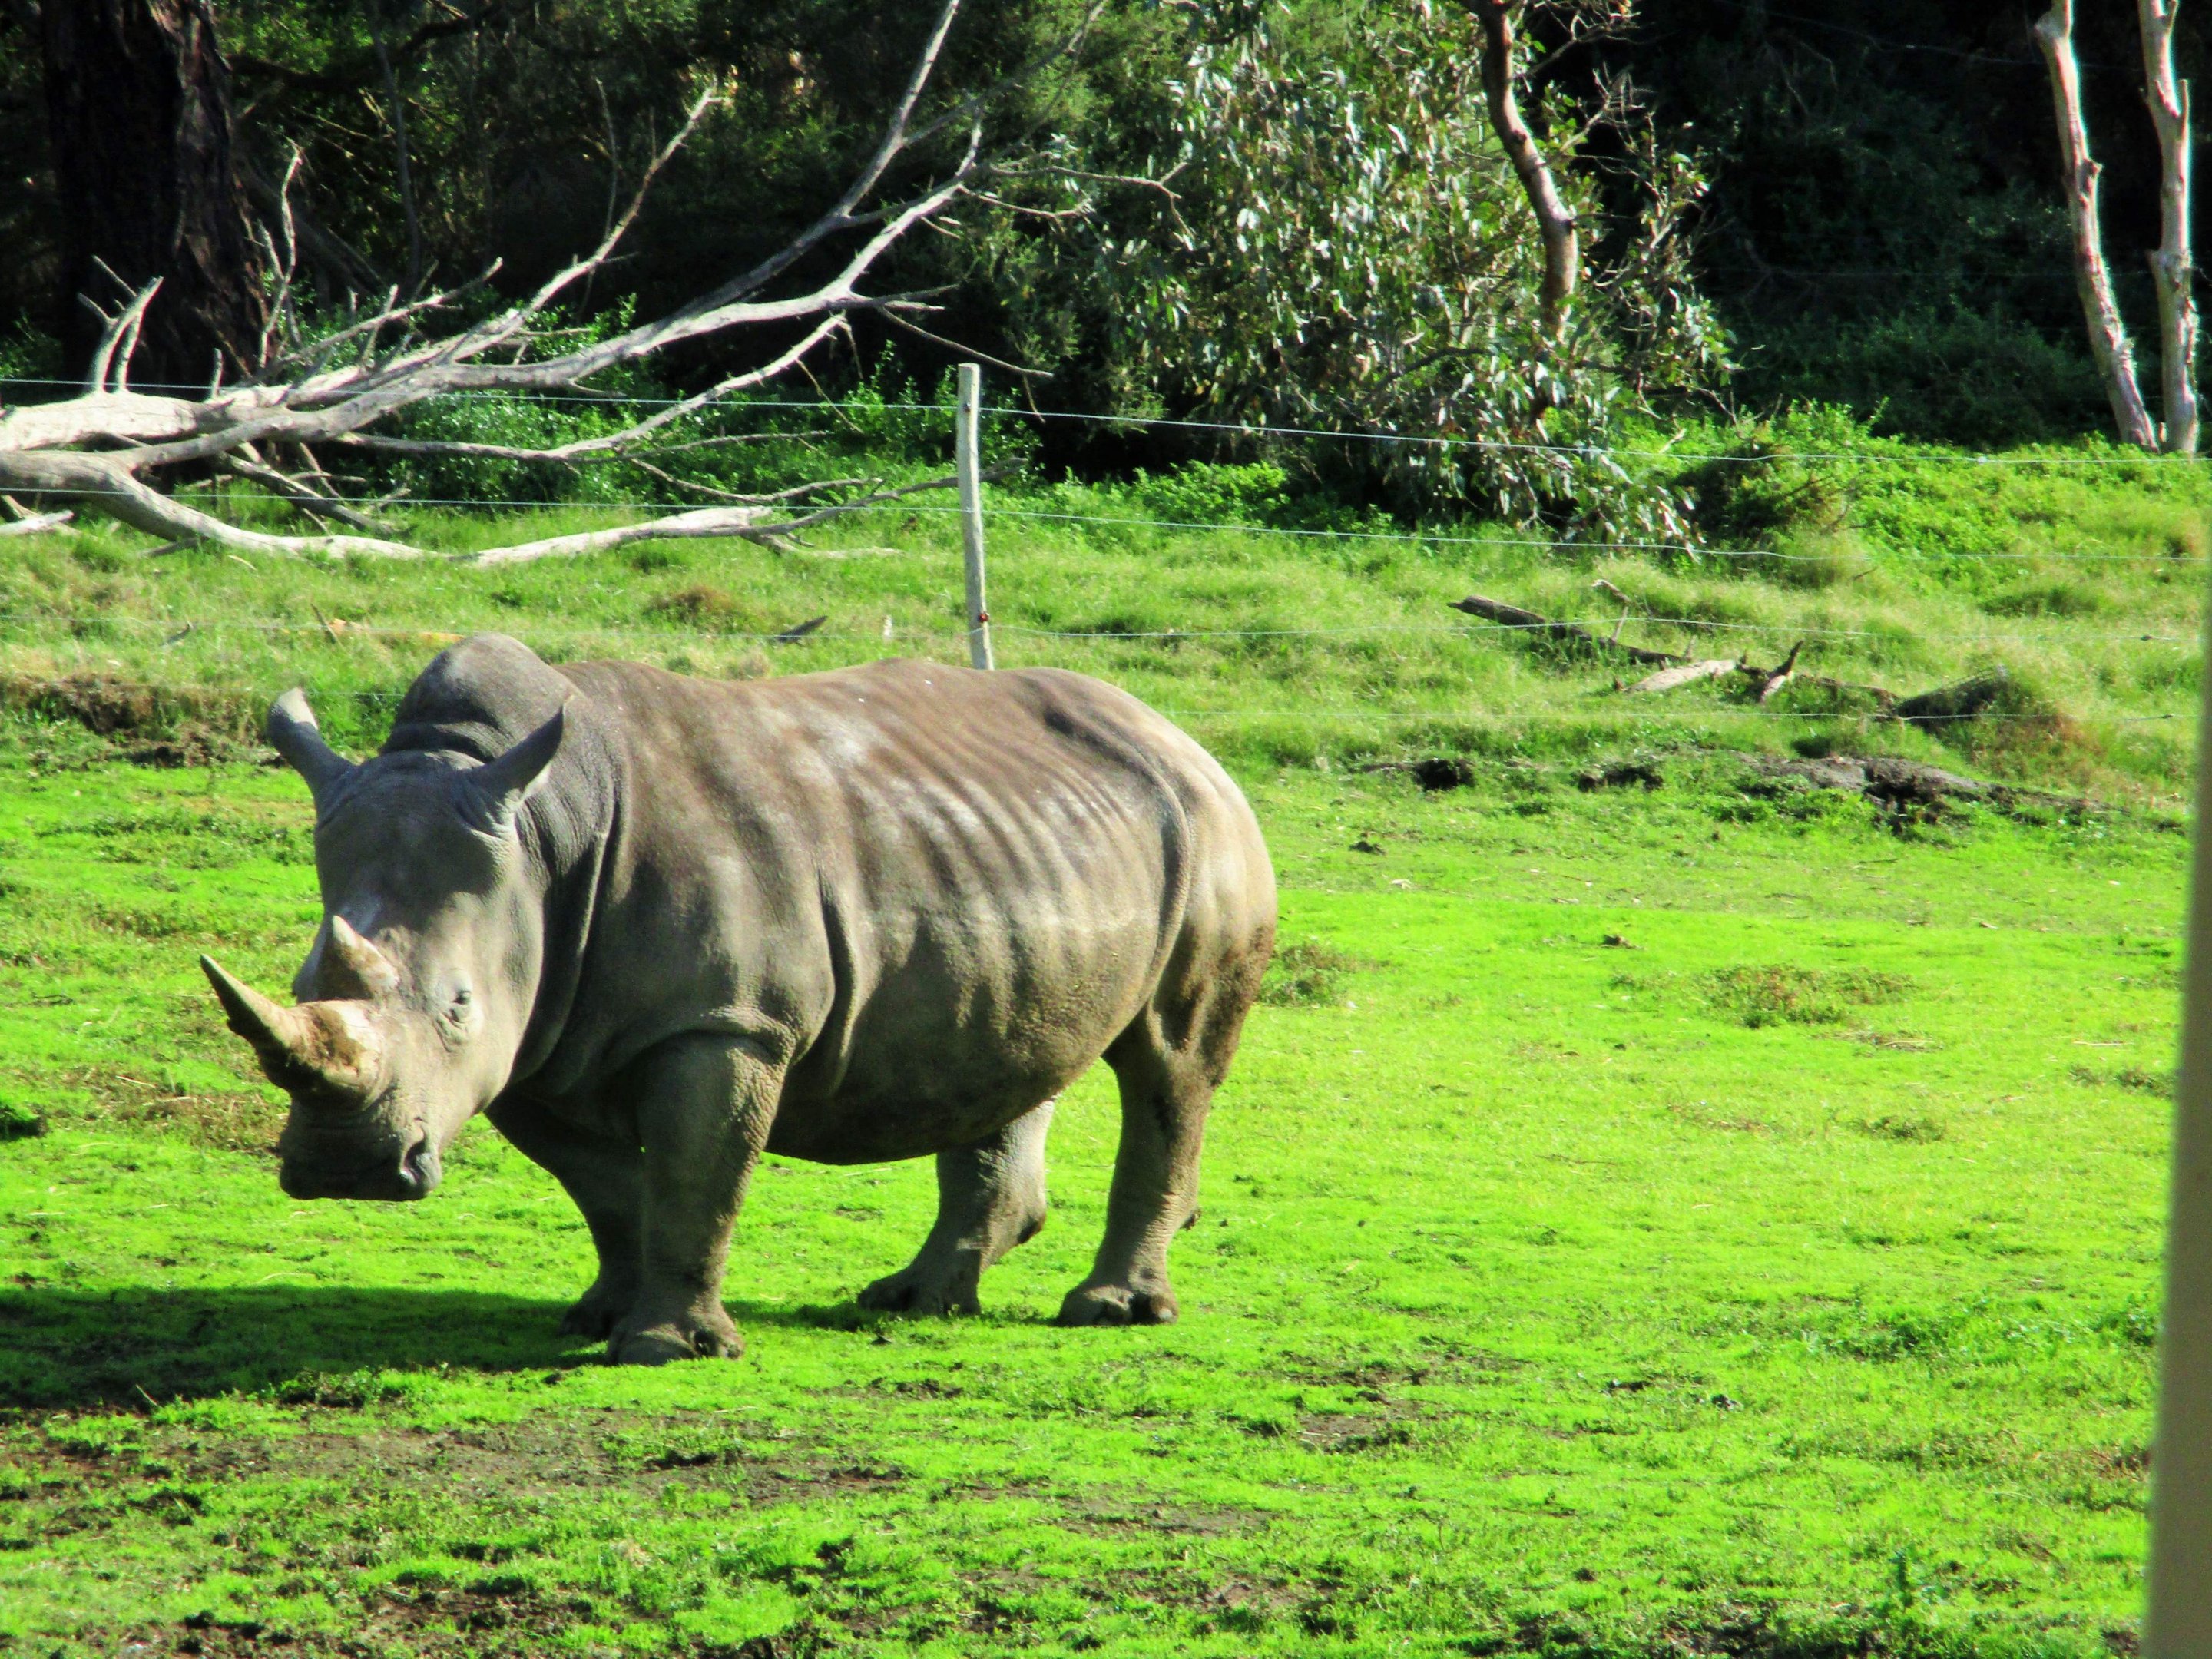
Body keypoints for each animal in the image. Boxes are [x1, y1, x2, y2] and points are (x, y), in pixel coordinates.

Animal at [200, 635, 1276, 1363]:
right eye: (297, 987)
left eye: (460, 1005)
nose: (349, 1169)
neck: (542, 833)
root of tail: (1176, 733)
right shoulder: (537, 1042)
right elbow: (610, 1187)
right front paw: (597, 1316)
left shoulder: (725, 1023)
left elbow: (698, 1173)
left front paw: (662, 1347)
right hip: (1029, 854)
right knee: (1019, 1047)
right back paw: (910, 1302)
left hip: (1209, 824)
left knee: (1171, 1062)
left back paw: (1108, 1311)